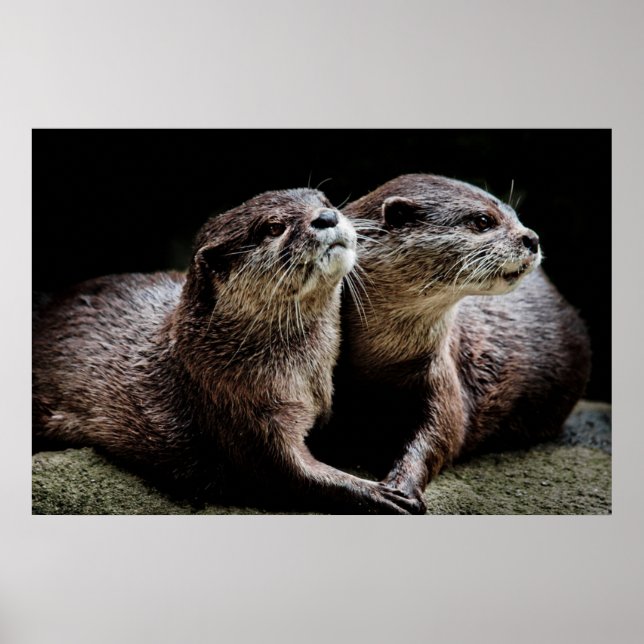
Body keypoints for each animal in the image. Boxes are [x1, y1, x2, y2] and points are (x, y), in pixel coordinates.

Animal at [32, 188, 421, 514]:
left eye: (324, 200)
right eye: (274, 227)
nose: (327, 216)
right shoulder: (238, 408)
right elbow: (285, 474)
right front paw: (380, 493)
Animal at [309, 174, 591, 510]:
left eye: (515, 215)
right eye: (483, 221)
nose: (532, 238)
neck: (379, 362)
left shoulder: (443, 375)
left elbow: (442, 436)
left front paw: (403, 486)